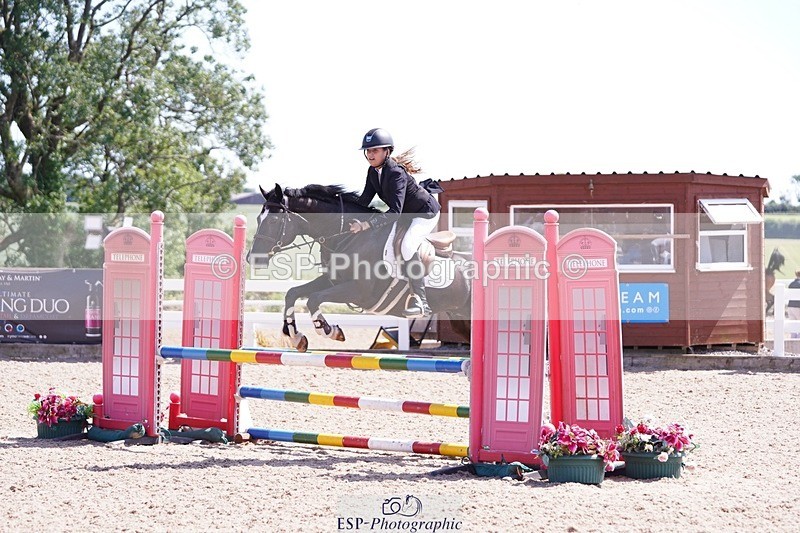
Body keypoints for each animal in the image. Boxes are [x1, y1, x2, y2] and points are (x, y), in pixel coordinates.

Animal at [247, 183, 472, 352]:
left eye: (274, 220)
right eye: (258, 218)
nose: (253, 258)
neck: (347, 236)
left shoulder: (360, 292)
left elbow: (314, 299)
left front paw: (330, 330)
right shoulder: (333, 281)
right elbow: (293, 293)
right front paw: (296, 337)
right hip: (460, 319)